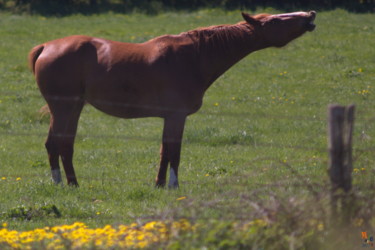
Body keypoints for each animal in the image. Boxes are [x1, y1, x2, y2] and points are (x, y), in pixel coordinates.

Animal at [28, 10, 318, 188]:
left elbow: (164, 151)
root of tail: (46, 47)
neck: (195, 56)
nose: (310, 15)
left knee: (62, 145)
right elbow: (174, 152)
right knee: (57, 144)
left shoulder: (170, 117)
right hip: (64, 108)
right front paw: (173, 185)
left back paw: (69, 184)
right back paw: (64, 184)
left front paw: (158, 184)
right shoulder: (177, 116)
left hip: (73, 108)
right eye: (275, 21)